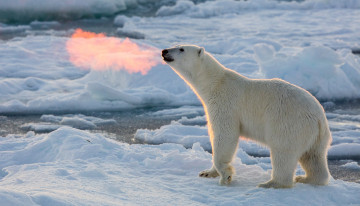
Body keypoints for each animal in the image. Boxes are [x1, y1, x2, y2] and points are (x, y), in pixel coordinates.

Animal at [163, 44, 332, 188]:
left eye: (181, 49)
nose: (164, 51)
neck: (215, 83)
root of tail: (319, 118)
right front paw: (207, 172)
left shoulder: (225, 104)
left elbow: (225, 135)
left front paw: (226, 176)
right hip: (316, 136)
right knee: (313, 157)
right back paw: (306, 178)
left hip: (289, 123)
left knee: (283, 152)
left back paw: (271, 183)